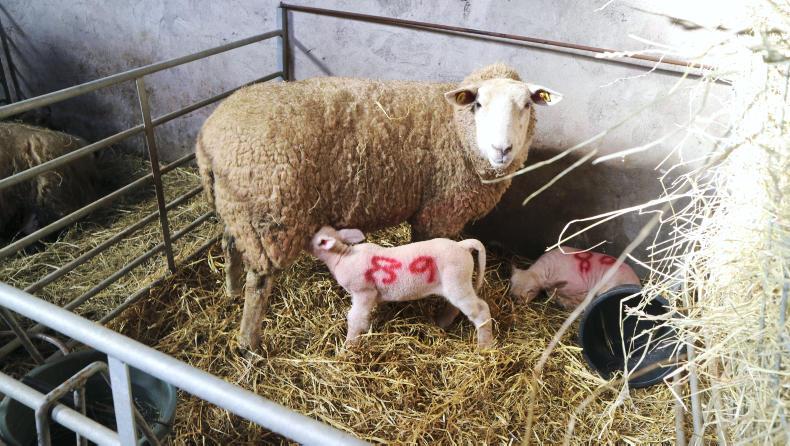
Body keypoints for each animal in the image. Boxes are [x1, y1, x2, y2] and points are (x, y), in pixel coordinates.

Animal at [309, 226, 492, 347]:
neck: (342, 256)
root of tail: (462, 245)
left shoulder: (364, 292)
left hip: (458, 282)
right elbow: (363, 317)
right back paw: (443, 322)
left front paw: (349, 346)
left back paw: (484, 347)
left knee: (481, 309)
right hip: (456, 285)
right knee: (457, 308)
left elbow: (354, 318)